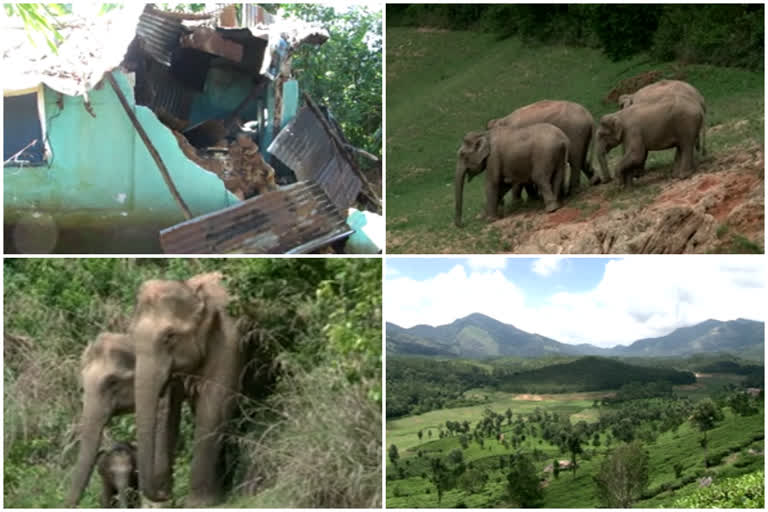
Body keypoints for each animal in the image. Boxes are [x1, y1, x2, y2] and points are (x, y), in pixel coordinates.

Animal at [129, 270, 242, 506]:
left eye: (169, 337)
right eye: (131, 335)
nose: (163, 494)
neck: (194, 293)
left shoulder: (229, 338)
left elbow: (215, 401)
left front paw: (200, 504)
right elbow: (168, 409)